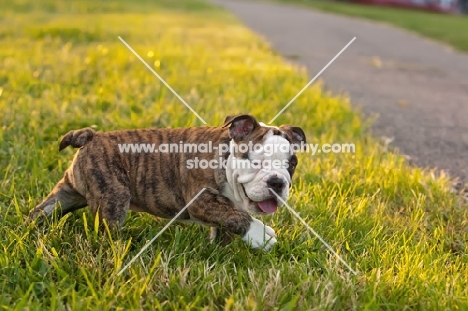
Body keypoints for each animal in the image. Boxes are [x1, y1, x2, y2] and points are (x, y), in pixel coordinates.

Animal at [30, 114, 308, 251]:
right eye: (255, 161)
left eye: (291, 165)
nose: (277, 182)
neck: (226, 158)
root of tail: (92, 137)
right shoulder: (200, 201)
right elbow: (240, 217)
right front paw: (261, 235)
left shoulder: (223, 206)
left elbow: (228, 222)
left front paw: (219, 253)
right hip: (113, 197)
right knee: (108, 230)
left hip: (68, 193)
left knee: (43, 210)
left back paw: (27, 229)